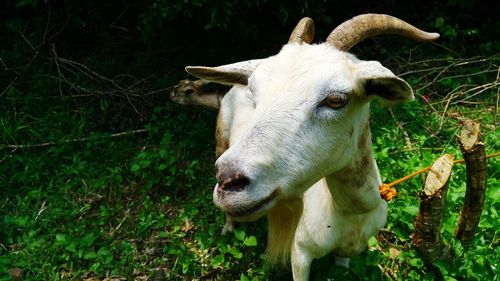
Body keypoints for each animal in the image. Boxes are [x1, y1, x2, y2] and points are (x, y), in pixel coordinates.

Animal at [185, 14, 438, 278]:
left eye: (336, 100)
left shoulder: (345, 253)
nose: (228, 181)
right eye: (254, 91)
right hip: (221, 139)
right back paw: (228, 228)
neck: (352, 212)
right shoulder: (300, 253)